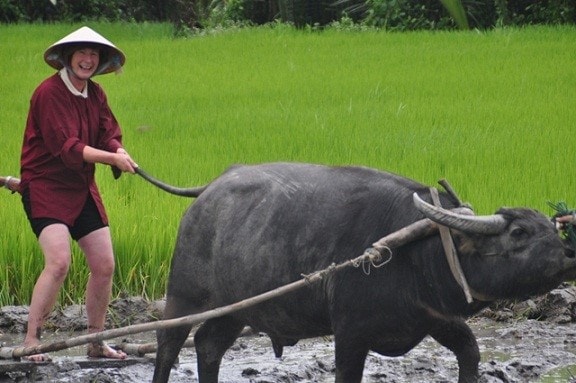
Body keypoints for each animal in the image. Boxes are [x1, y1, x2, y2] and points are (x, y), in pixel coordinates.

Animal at [143, 163, 572, 383]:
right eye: (518, 233)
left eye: (550, 227)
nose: (570, 255)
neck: (419, 251)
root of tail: (207, 194)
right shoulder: (350, 332)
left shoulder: (436, 318)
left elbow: (470, 351)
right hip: (184, 295)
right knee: (168, 345)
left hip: (236, 309)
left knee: (208, 345)